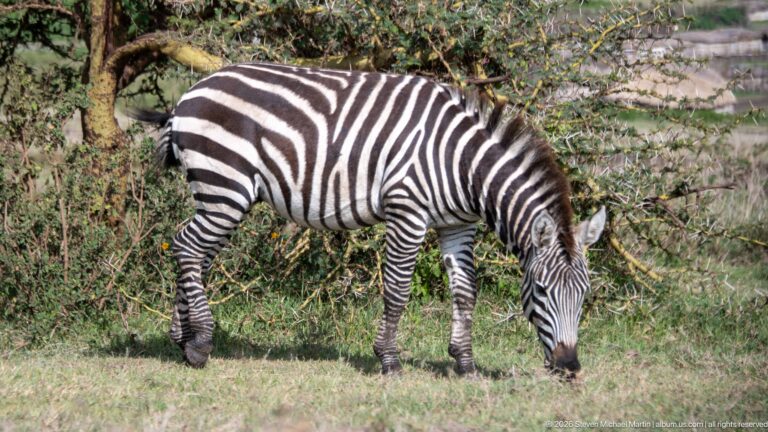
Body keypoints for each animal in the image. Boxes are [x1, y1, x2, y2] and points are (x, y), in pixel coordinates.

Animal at [134, 62, 605, 375]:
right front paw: (389, 360)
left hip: (220, 194)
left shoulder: (458, 226)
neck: (463, 164)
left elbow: (465, 293)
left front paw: (465, 363)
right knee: (187, 247)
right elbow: (397, 291)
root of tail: (189, 93)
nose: (569, 366)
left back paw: (183, 339)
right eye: (540, 290)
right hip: (225, 185)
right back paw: (200, 343)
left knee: (194, 253)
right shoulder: (408, 212)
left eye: (584, 295)